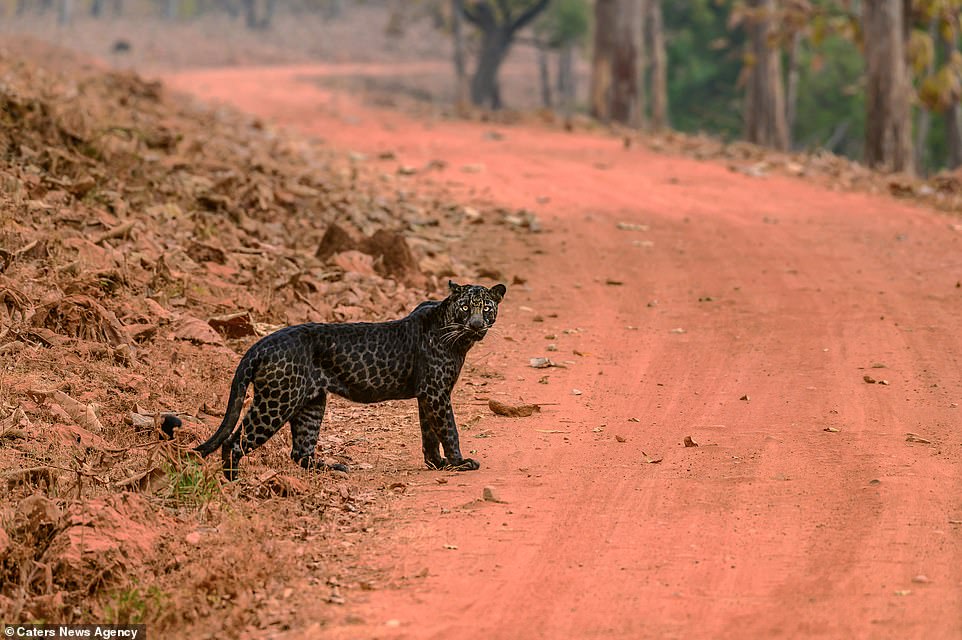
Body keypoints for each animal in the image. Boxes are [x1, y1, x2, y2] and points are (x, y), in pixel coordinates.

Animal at [192, 282, 506, 480]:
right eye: (465, 308)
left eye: (486, 308)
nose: (476, 324)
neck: (457, 336)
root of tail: (261, 344)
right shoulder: (436, 392)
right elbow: (448, 429)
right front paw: (459, 462)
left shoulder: (427, 395)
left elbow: (429, 431)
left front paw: (437, 464)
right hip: (277, 401)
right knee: (234, 442)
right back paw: (235, 482)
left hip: (311, 403)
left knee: (300, 451)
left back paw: (334, 469)